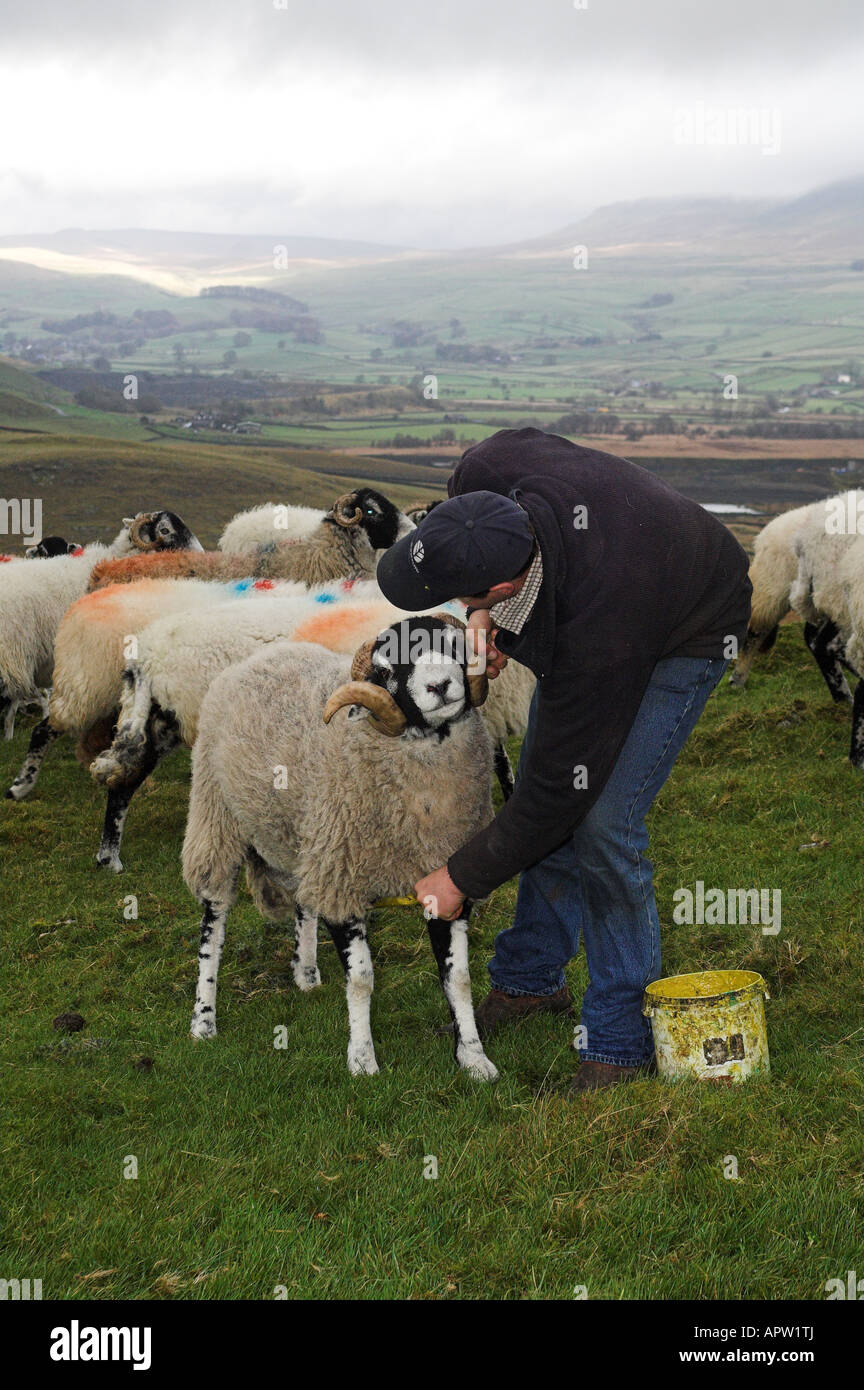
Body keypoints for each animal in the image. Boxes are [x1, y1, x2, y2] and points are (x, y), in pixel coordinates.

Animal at [88, 583, 536, 867]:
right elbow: (500, 763)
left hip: (159, 720)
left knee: (123, 778)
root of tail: (146, 654)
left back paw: (108, 856)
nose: (440, 687)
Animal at [183, 619, 500, 1084]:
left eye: (455, 644)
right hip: (216, 816)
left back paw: (306, 971)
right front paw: (363, 1059)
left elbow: (458, 977)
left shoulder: (446, 882)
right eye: (386, 670)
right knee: (215, 920)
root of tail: (261, 656)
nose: (440, 686)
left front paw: (473, 1058)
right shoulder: (343, 882)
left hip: (303, 835)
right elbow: (362, 980)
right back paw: (204, 1019)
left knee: (302, 900)